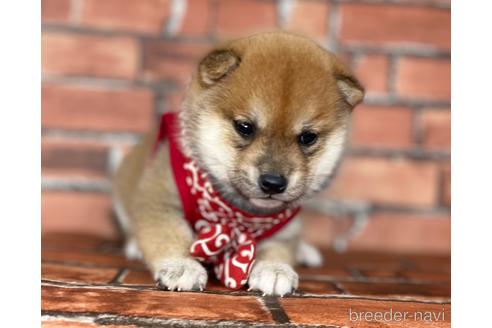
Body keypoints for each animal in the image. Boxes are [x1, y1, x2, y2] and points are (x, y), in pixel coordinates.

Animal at [112, 32, 366, 296]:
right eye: (244, 127)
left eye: (308, 137)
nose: (273, 183)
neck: (236, 216)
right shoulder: (160, 201)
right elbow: (168, 236)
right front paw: (181, 266)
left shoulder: (284, 228)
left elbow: (279, 247)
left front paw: (275, 269)